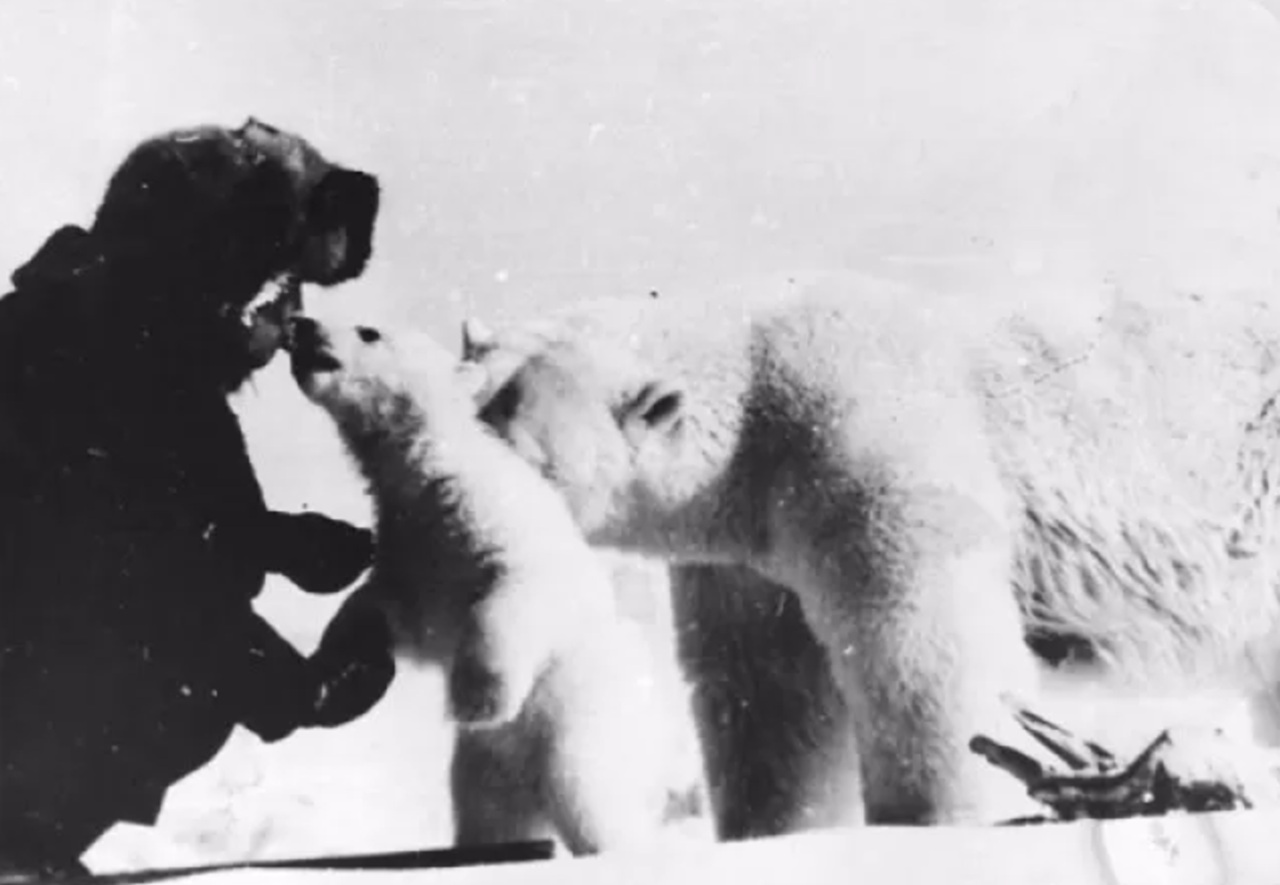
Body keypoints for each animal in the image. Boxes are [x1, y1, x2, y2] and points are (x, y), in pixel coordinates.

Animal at [286, 314, 710, 855]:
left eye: (369, 331)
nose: (301, 323)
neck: (433, 462)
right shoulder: (407, 545)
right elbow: (381, 609)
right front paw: (330, 676)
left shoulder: (492, 510)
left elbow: (517, 588)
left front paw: (476, 701)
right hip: (491, 767)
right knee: (491, 818)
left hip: (580, 721)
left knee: (589, 797)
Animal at [453, 273, 1280, 830]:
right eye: (464, 387)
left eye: (518, 435)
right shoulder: (750, 553)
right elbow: (770, 690)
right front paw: (777, 823)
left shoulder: (870, 448)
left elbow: (924, 653)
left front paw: (945, 814)